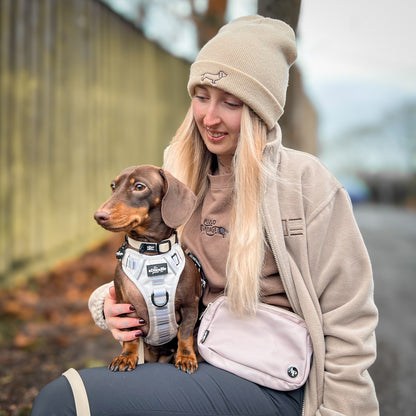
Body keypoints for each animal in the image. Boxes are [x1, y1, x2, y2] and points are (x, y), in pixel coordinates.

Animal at [96, 165, 203, 374]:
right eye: (113, 186)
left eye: (139, 186)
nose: (99, 216)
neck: (152, 253)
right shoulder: (126, 306)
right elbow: (131, 336)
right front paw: (126, 356)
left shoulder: (190, 305)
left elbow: (185, 333)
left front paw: (186, 357)